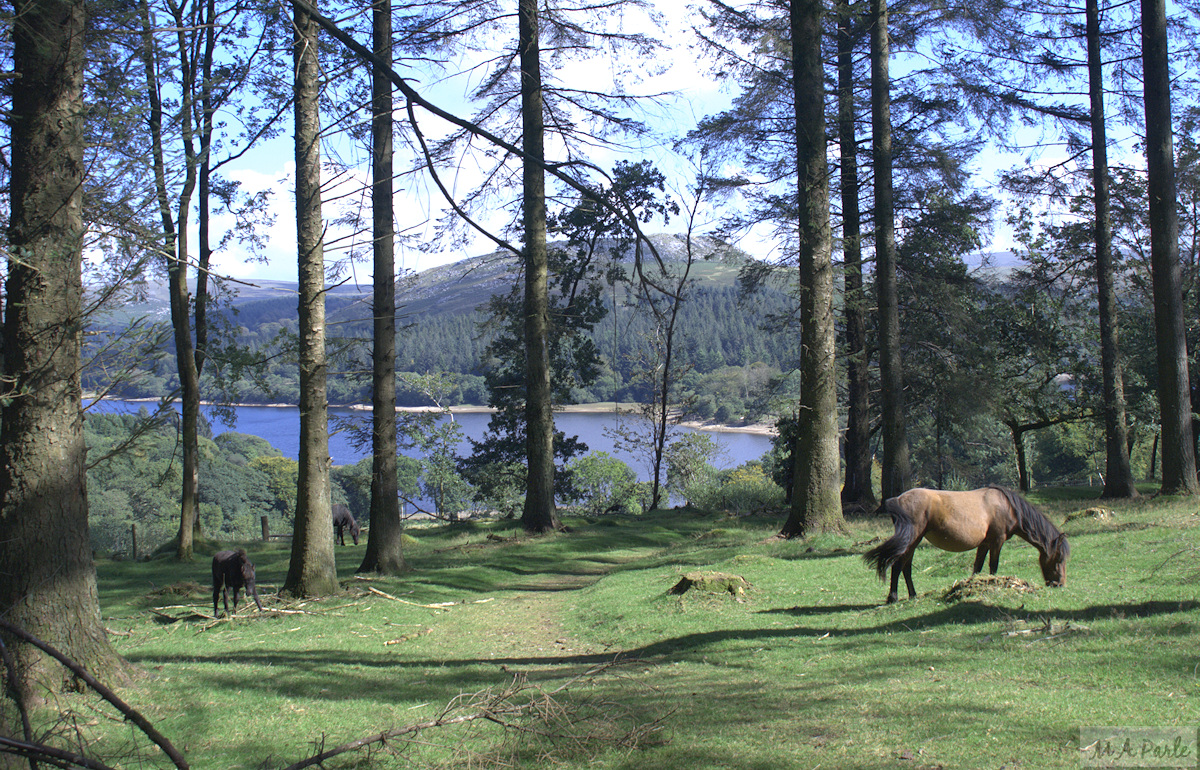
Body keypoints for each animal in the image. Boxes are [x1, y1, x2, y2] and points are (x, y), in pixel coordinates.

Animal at [864, 482, 1070, 602]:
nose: (1059, 584)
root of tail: (898, 500)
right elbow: (993, 567)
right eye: (1059, 559)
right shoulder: (997, 541)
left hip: (915, 541)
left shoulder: (985, 544)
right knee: (898, 566)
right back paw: (893, 597)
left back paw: (913, 596)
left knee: (906, 567)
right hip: (912, 538)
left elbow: (977, 568)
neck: (1008, 506)